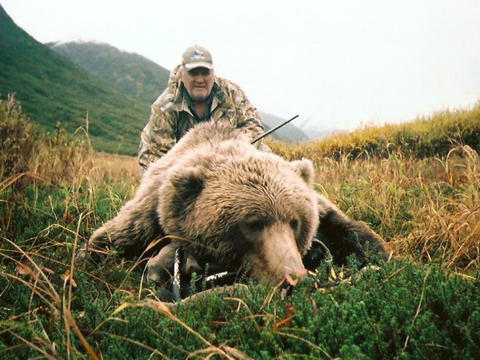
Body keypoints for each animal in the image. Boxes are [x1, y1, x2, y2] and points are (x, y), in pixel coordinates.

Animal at [79, 120, 386, 292]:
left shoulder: (321, 209)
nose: (294, 278)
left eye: (295, 222)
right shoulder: (151, 211)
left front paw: (375, 259)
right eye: (253, 224)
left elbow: (350, 228)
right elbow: (109, 240)